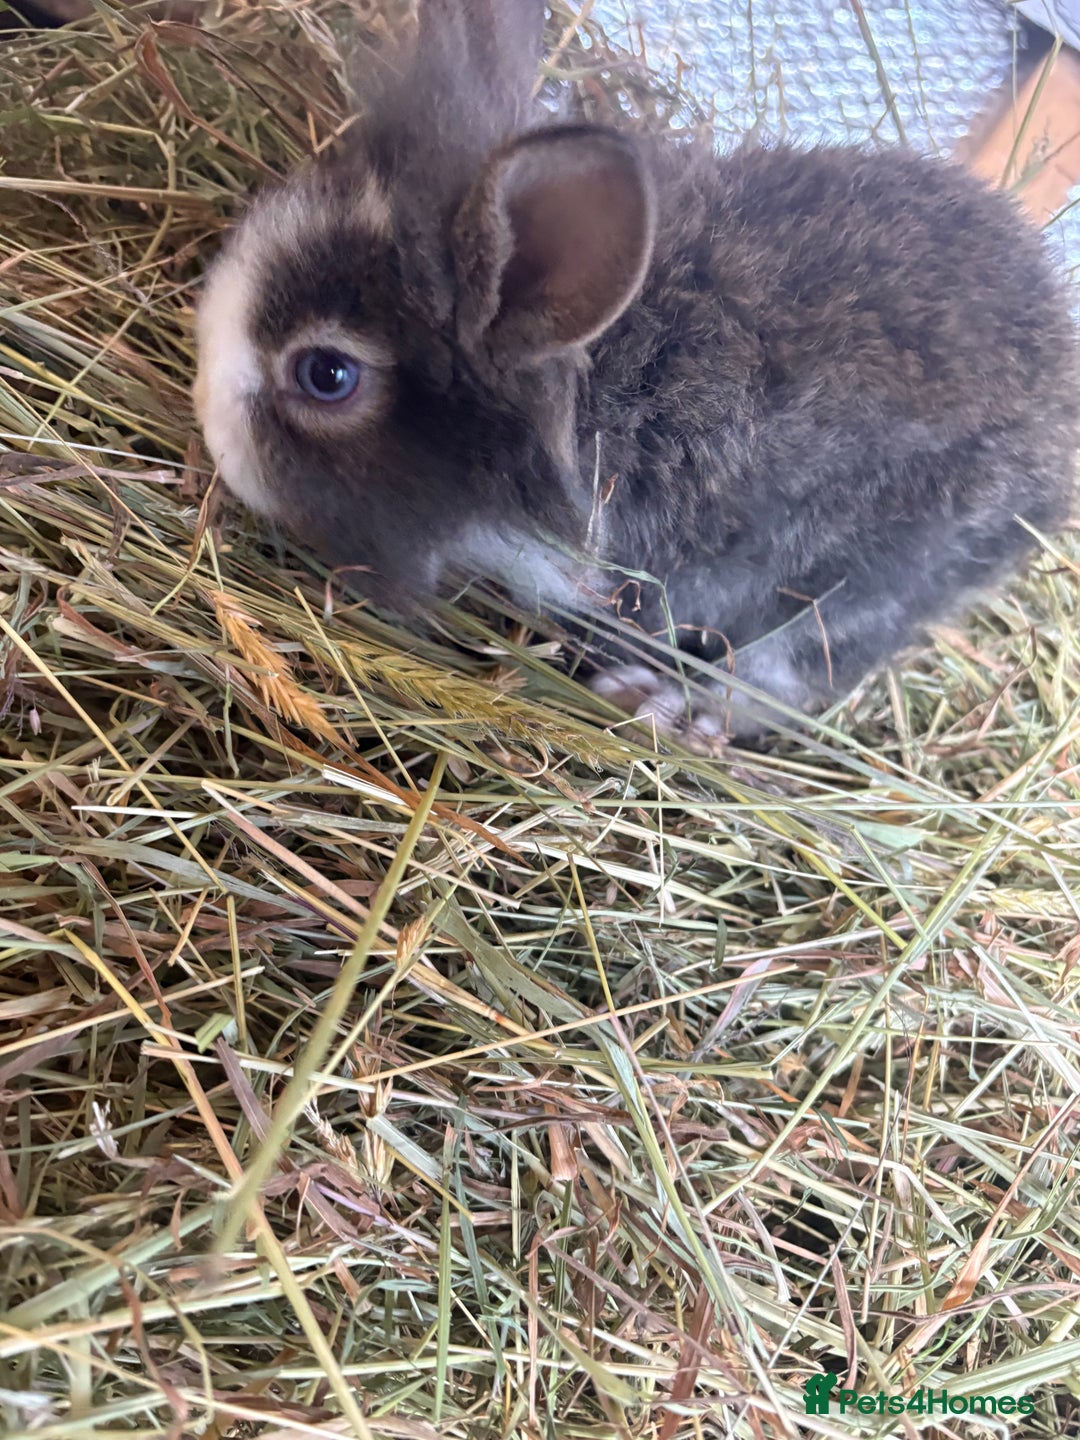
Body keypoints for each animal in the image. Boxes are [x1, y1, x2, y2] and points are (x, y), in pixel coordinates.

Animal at [193, 0, 1079, 750]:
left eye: (327, 374)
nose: (211, 430)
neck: (585, 398)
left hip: (872, 579)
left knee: (793, 672)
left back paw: (672, 706)